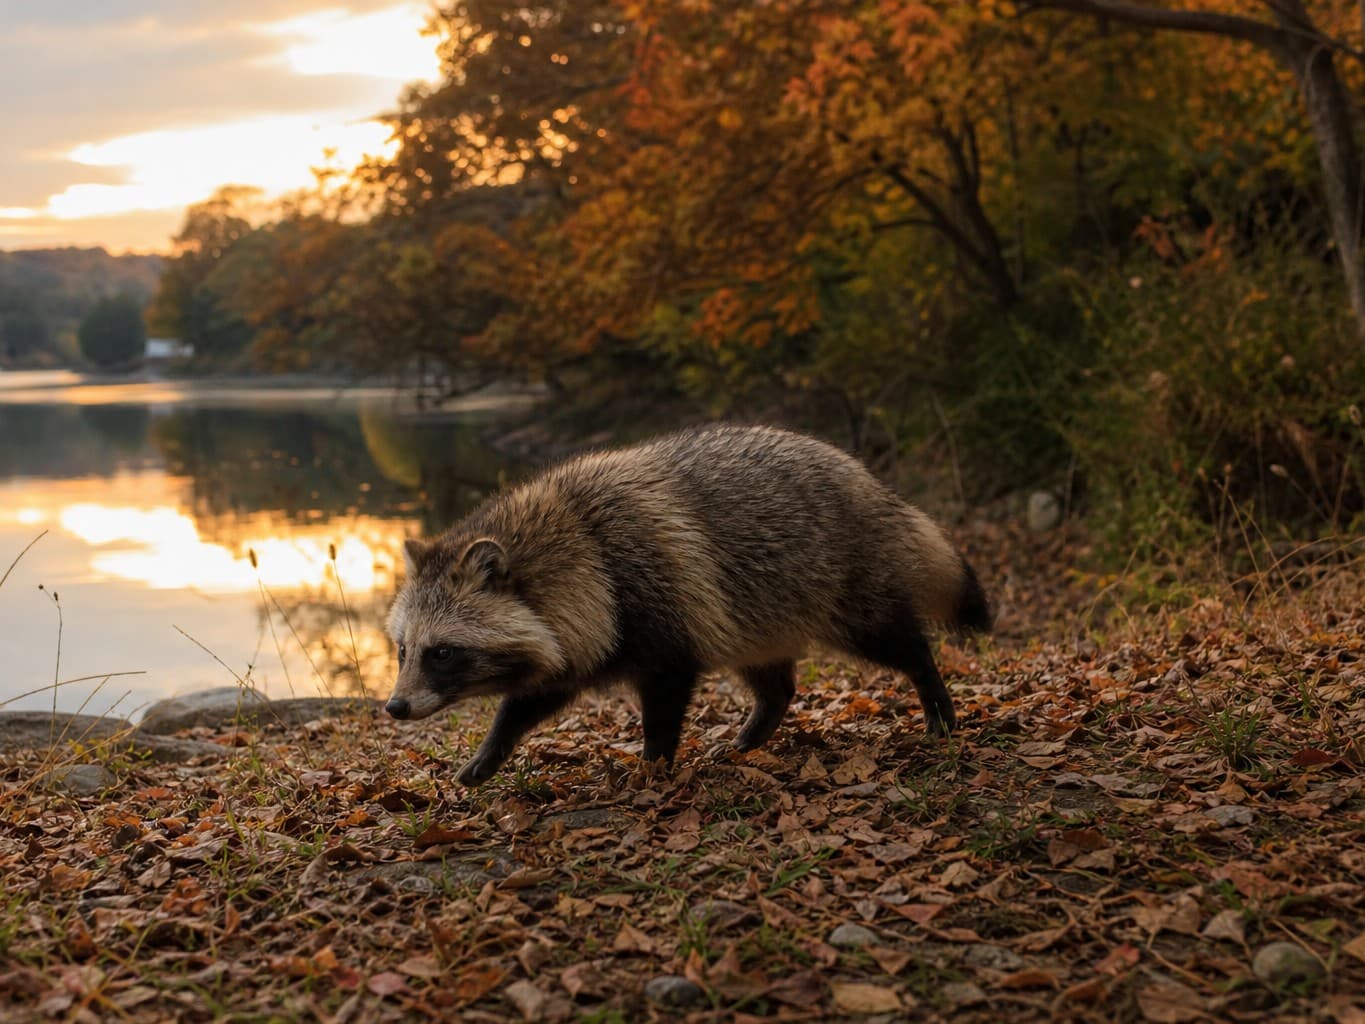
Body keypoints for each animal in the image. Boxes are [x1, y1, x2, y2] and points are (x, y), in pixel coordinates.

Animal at [385, 424, 991, 785]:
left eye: (442, 653)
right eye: (402, 651)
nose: (393, 706)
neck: (580, 546)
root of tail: (871, 481)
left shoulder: (654, 605)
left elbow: (664, 698)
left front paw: (654, 765)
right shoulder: (581, 633)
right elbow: (534, 697)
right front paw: (491, 751)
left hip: (844, 581)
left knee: (895, 640)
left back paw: (933, 695)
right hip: (756, 610)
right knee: (773, 681)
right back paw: (757, 729)